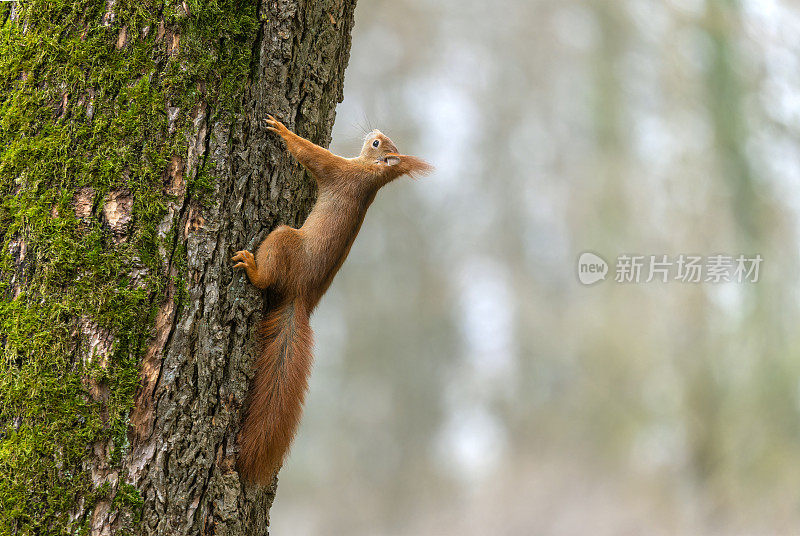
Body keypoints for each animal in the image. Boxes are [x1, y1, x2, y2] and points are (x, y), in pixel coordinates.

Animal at [231, 115, 432, 484]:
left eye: (378, 145)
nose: (375, 132)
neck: (370, 175)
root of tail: (300, 296)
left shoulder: (338, 171)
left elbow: (311, 155)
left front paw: (282, 130)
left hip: (283, 239)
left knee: (267, 273)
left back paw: (252, 268)